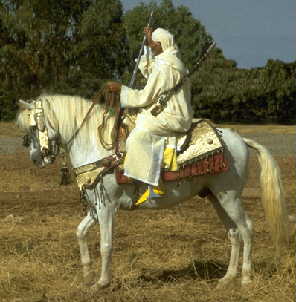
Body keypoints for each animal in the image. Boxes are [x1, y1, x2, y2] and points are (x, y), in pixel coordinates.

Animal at [16, 94, 290, 290]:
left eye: (34, 126)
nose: (35, 158)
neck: (99, 147)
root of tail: (241, 140)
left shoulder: (107, 208)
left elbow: (105, 244)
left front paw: (101, 283)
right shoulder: (96, 208)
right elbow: (80, 233)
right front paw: (86, 275)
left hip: (230, 196)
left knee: (247, 229)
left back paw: (245, 278)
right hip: (216, 197)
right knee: (233, 232)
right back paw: (227, 278)